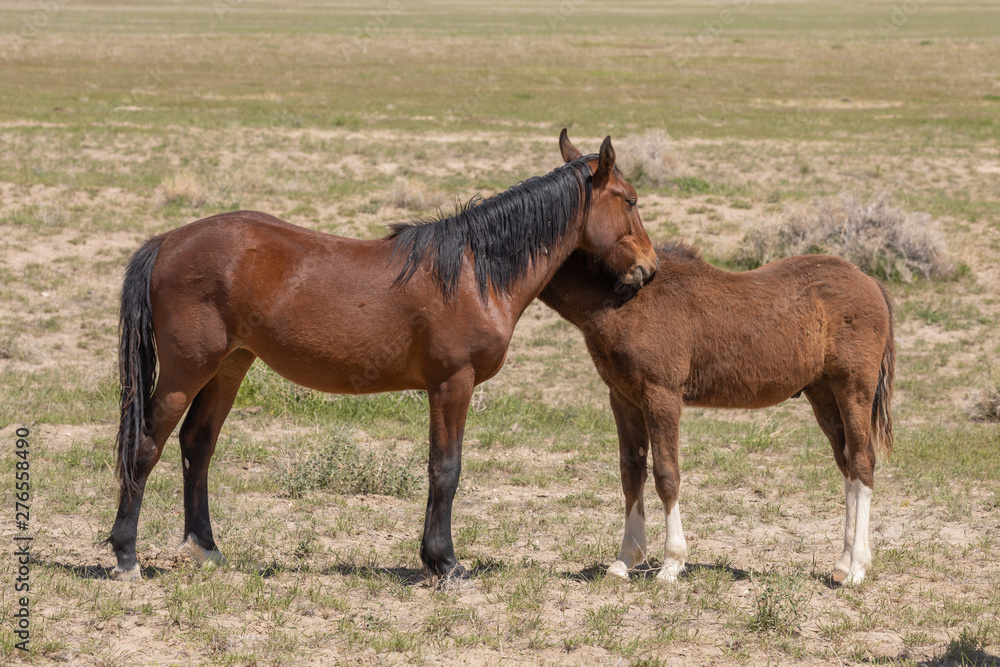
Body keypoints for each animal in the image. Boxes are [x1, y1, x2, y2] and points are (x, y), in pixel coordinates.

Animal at [107, 129, 664, 580]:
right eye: (631, 200)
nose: (649, 268)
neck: (474, 273)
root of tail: (168, 241)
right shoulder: (452, 383)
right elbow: (446, 469)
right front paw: (445, 563)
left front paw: (436, 559)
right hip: (186, 371)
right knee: (146, 446)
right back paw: (126, 556)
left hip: (229, 366)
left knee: (197, 445)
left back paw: (206, 549)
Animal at [544, 237, 896, 588]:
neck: (626, 300)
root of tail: (868, 280)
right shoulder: (623, 398)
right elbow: (631, 473)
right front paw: (625, 560)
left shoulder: (661, 395)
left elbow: (666, 475)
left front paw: (672, 563)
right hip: (824, 395)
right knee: (847, 465)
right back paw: (843, 564)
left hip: (853, 389)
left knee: (862, 462)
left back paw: (857, 568)